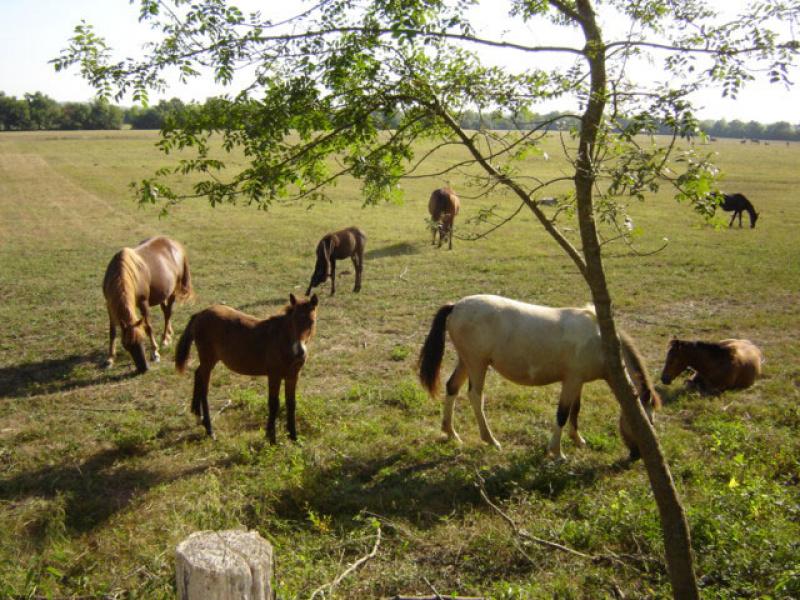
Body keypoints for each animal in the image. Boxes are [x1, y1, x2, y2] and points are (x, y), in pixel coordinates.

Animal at [101, 236, 194, 372]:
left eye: (143, 340)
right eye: (126, 345)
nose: (143, 368)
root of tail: (175, 244)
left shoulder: (143, 302)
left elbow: (148, 326)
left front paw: (155, 353)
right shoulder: (110, 305)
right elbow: (112, 332)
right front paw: (110, 359)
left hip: (173, 291)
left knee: (168, 313)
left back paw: (165, 339)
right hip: (163, 294)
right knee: (165, 311)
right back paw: (168, 334)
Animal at [176, 294, 318, 440]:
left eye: (312, 322)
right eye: (292, 322)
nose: (300, 352)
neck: (282, 341)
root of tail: (200, 313)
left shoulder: (292, 376)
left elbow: (291, 403)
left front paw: (293, 436)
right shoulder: (274, 375)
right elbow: (274, 403)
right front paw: (271, 438)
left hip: (210, 361)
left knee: (197, 374)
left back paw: (198, 415)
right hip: (208, 360)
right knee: (204, 390)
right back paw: (209, 430)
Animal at [416, 294, 660, 460]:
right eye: (646, 423)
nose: (637, 455)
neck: (600, 341)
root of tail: (456, 306)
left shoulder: (577, 381)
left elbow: (575, 410)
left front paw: (578, 439)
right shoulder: (571, 381)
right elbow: (562, 414)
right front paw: (557, 452)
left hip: (466, 362)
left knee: (452, 388)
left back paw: (451, 433)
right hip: (477, 364)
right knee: (476, 396)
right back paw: (490, 440)